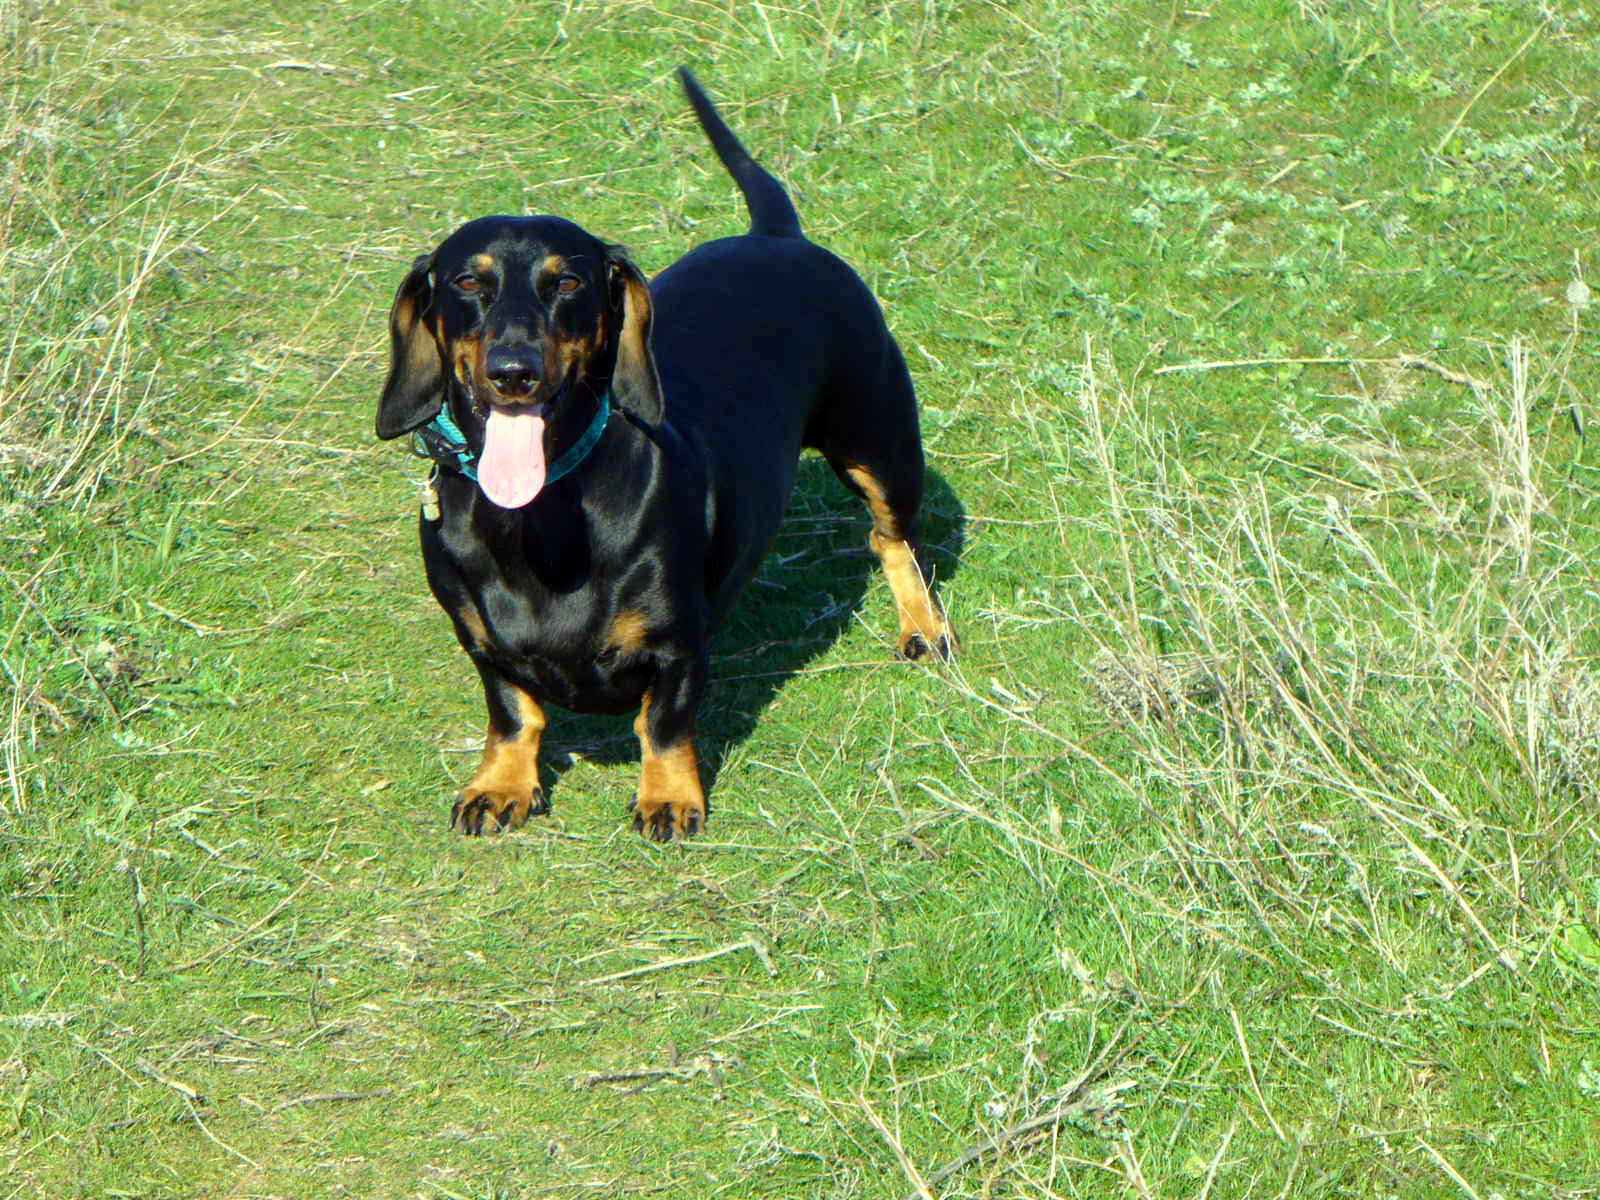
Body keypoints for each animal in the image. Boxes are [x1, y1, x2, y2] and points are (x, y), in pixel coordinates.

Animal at [377, 70, 947, 838]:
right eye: (468, 282)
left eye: (568, 283)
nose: (514, 372)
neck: (542, 515)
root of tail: (776, 236)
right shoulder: (483, 645)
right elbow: (513, 713)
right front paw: (501, 784)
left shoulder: (677, 646)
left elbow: (664, 724)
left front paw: (669, 798)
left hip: (879, 441)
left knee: (892, 538)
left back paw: (924, 627)